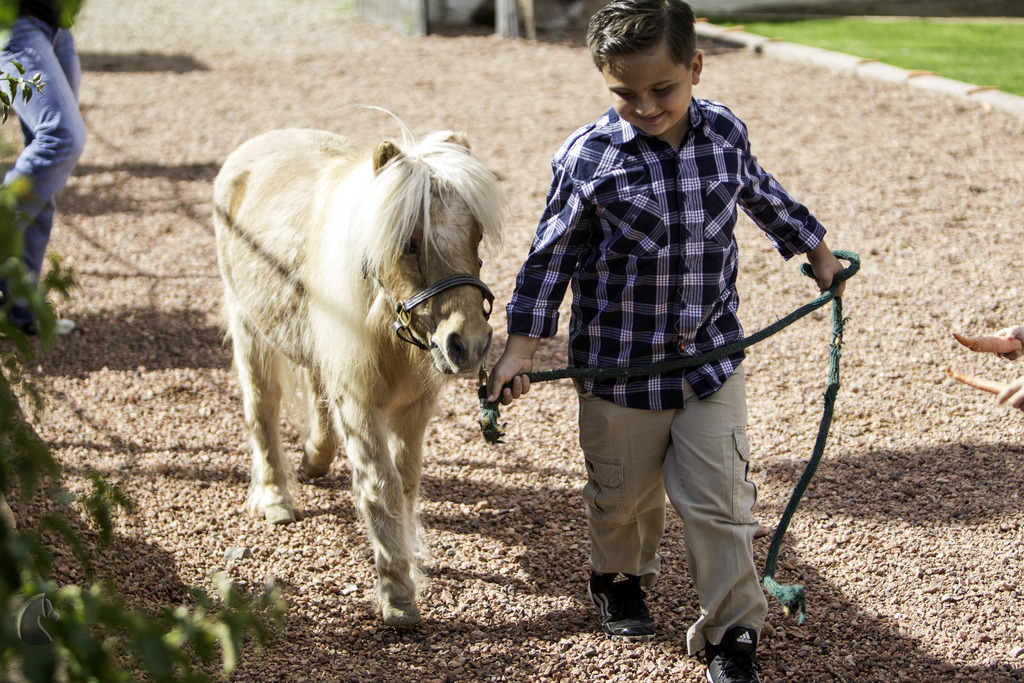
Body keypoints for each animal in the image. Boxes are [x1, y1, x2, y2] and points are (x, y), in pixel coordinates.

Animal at [212, 127, 505, 625]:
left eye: (477, 234)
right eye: (409, 242)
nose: (468, 344)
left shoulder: (414, 408)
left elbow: (405, 482)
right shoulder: (359, 404)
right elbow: (380, 487)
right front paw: (397, 594)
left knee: (315, 392)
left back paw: (315, 458)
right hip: (250, 330)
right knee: (262, 409)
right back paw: (276, 498)